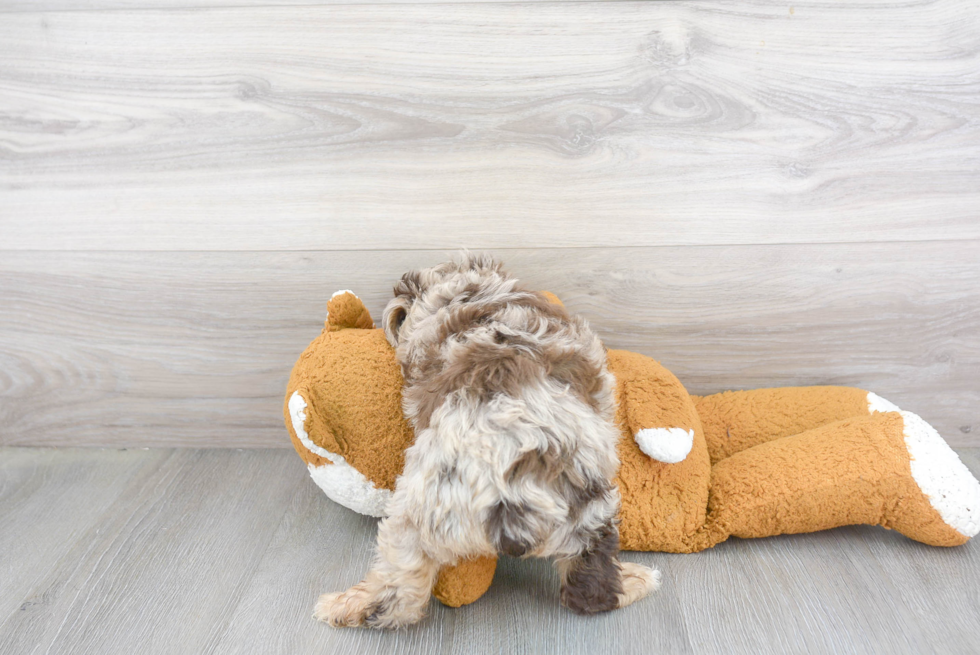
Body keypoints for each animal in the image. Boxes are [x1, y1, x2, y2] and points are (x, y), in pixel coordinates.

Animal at [318, 254, 664, 628]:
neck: (465, 291)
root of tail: (512, 496)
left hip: (415, 515)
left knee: (397, 595)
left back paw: (342, 606)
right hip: (594, 507)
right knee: (591, 585)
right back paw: (634, 581)